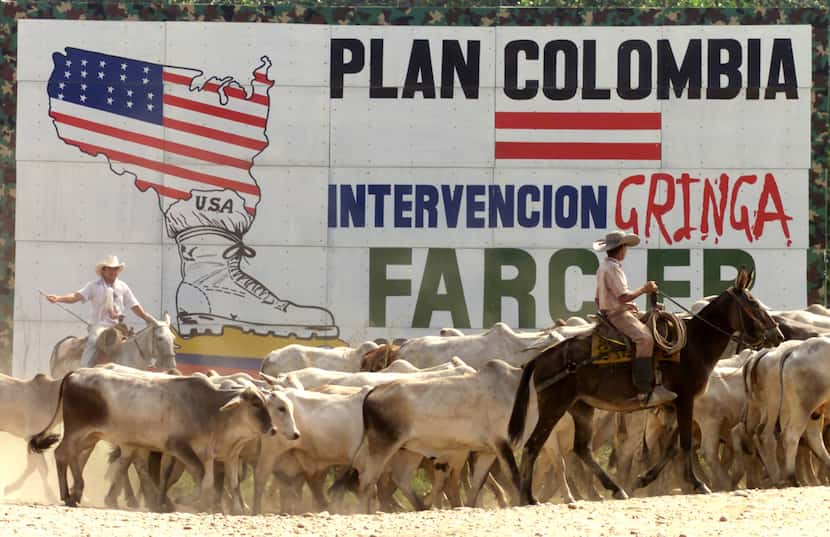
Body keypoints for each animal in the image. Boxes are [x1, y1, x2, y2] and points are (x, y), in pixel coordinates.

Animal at [508, 268, 788, 502]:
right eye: (753, 304)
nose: (777, 334)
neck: (693, 344)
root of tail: (542, 357)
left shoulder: (673, 404)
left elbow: (672, 447)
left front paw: (643, 479)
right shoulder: (685, 399)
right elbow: (685, 443)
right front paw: (698, 484)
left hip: (581, 407)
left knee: (582, 449)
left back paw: (616, 488)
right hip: (554, 406)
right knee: (533, 446)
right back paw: (528, 497)